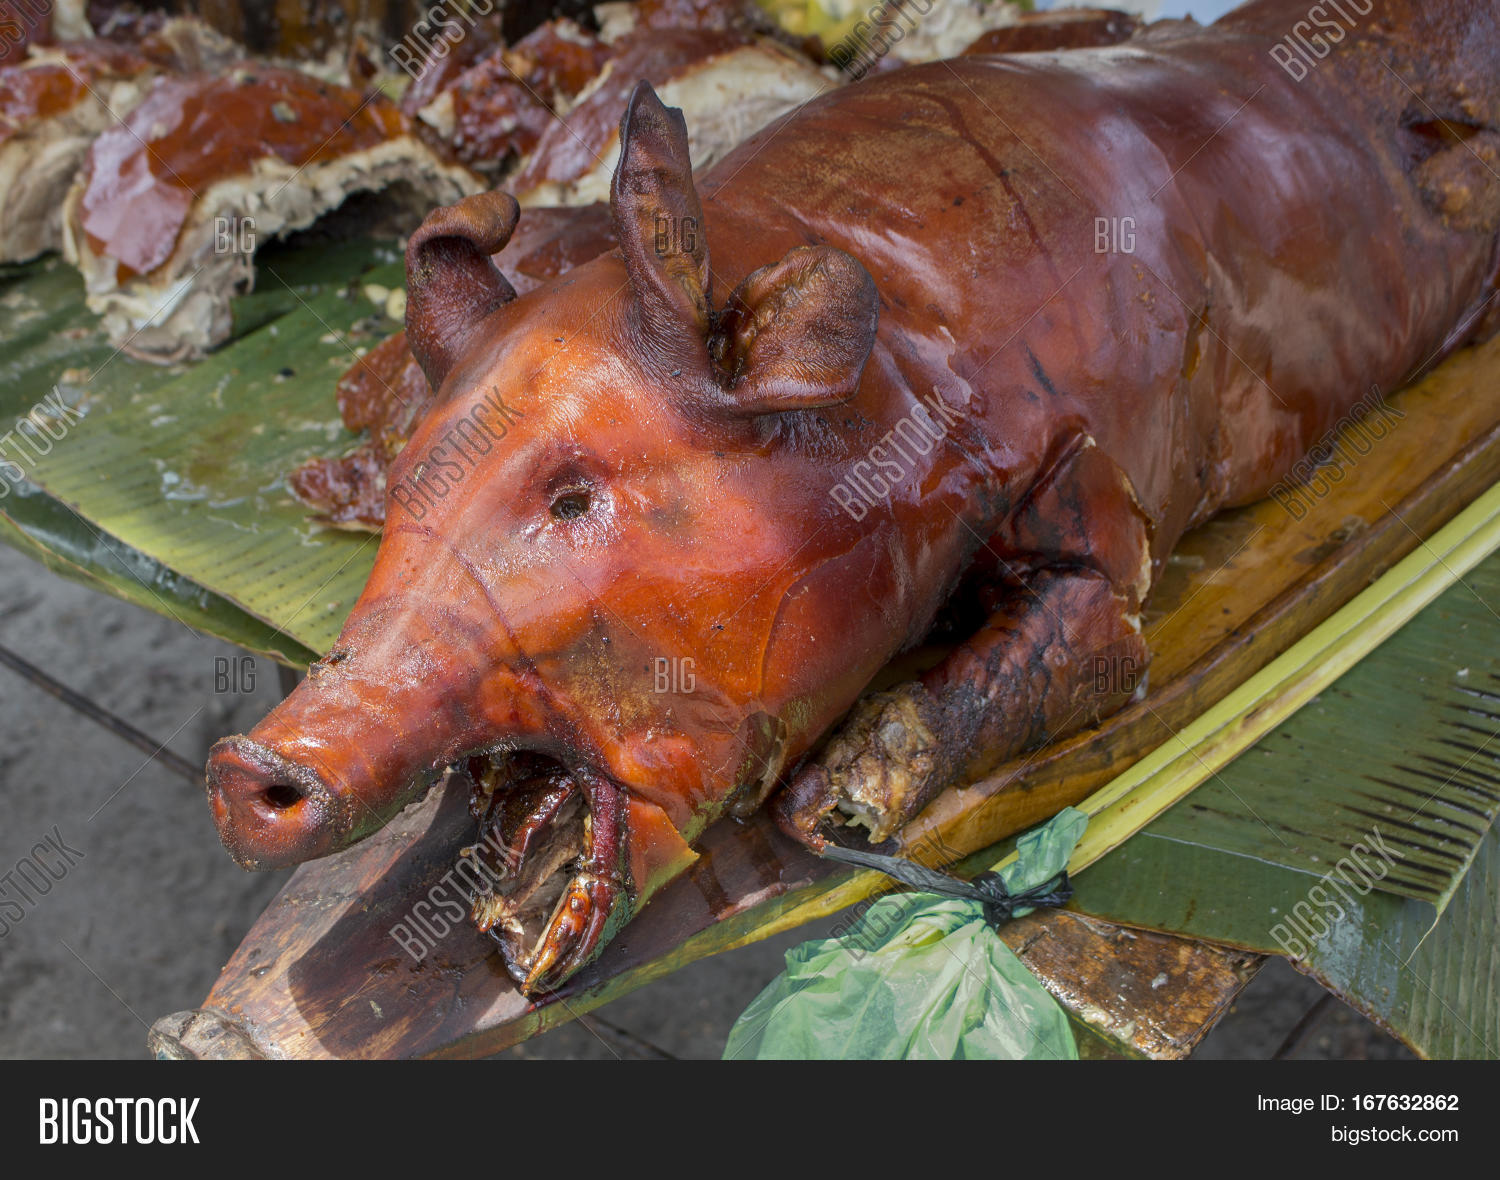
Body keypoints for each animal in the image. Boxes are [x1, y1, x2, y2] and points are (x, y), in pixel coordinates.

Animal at [207, 0, 1500, 992]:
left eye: (572, 498)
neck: (905, 349)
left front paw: (831, 804)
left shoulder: (1102, 484)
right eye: (412, 472)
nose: (251, 766)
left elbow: (1091, 627)